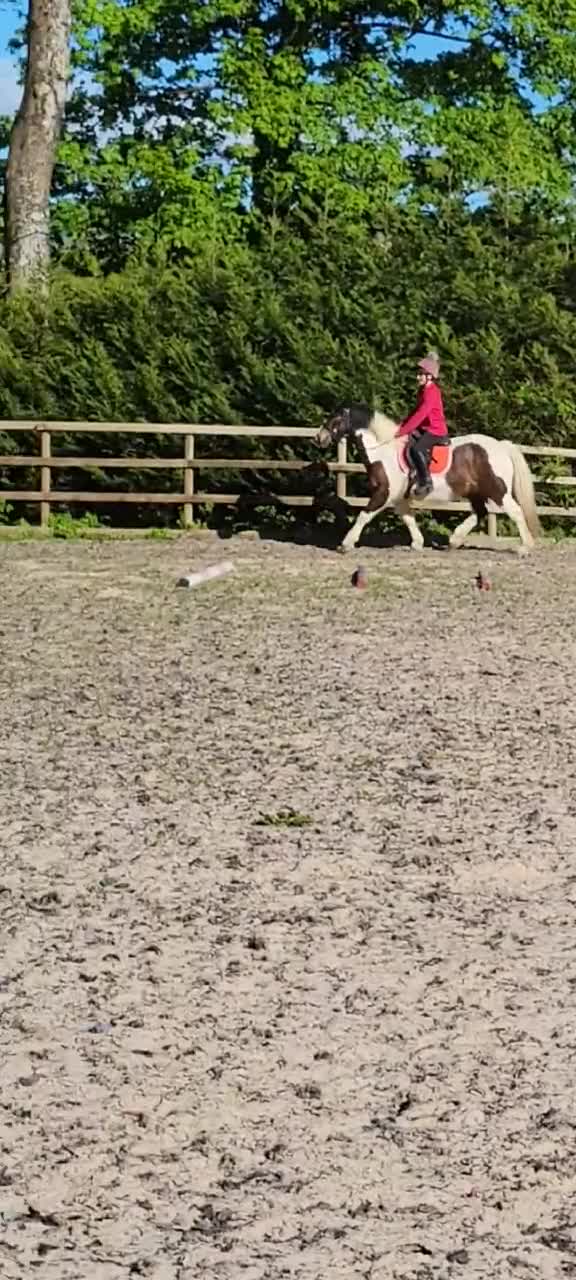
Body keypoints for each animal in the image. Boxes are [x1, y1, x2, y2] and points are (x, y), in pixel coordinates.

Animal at [315, 403, 540, 555]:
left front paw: (346, 543)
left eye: (335, 420)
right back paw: (454, 540)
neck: (383, 450)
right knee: (480, 513)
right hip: (476, 492)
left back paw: (524, 547)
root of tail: (501, 445)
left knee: (515, 512)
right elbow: (408, 518)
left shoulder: (384, 493)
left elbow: (364, 515)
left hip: (496, 490)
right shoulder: (399, 498)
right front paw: (417, 543)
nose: (318, 438)